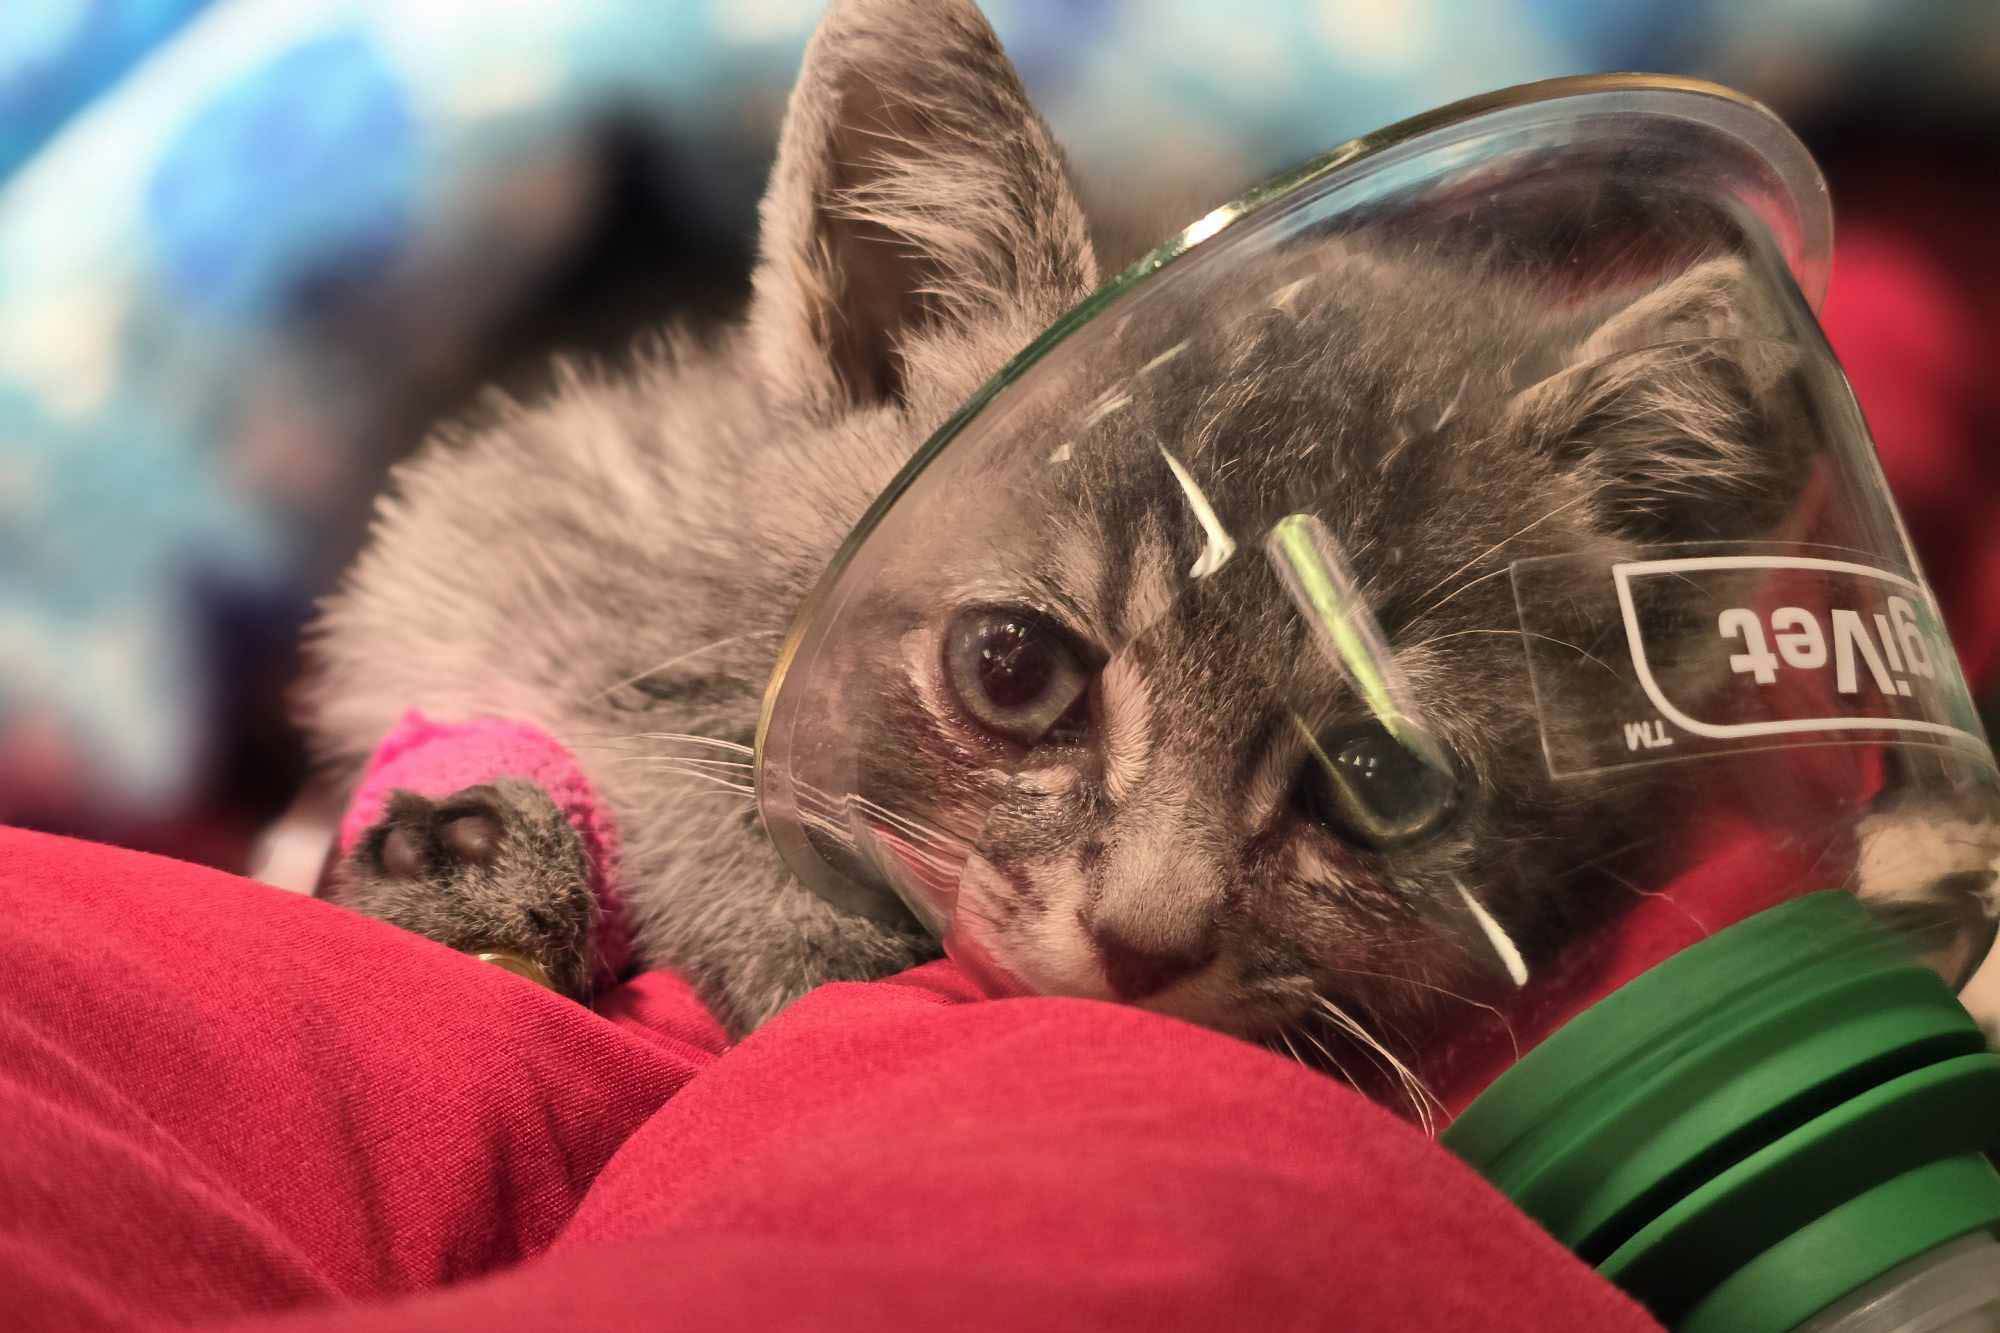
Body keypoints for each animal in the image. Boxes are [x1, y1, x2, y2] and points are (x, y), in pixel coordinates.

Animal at [304, 0, 1992, 1072]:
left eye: (1379, 779)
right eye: (1009, 665)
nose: (1139, 941)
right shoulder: (531, 497)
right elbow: (615, 689)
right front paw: (780, 922)